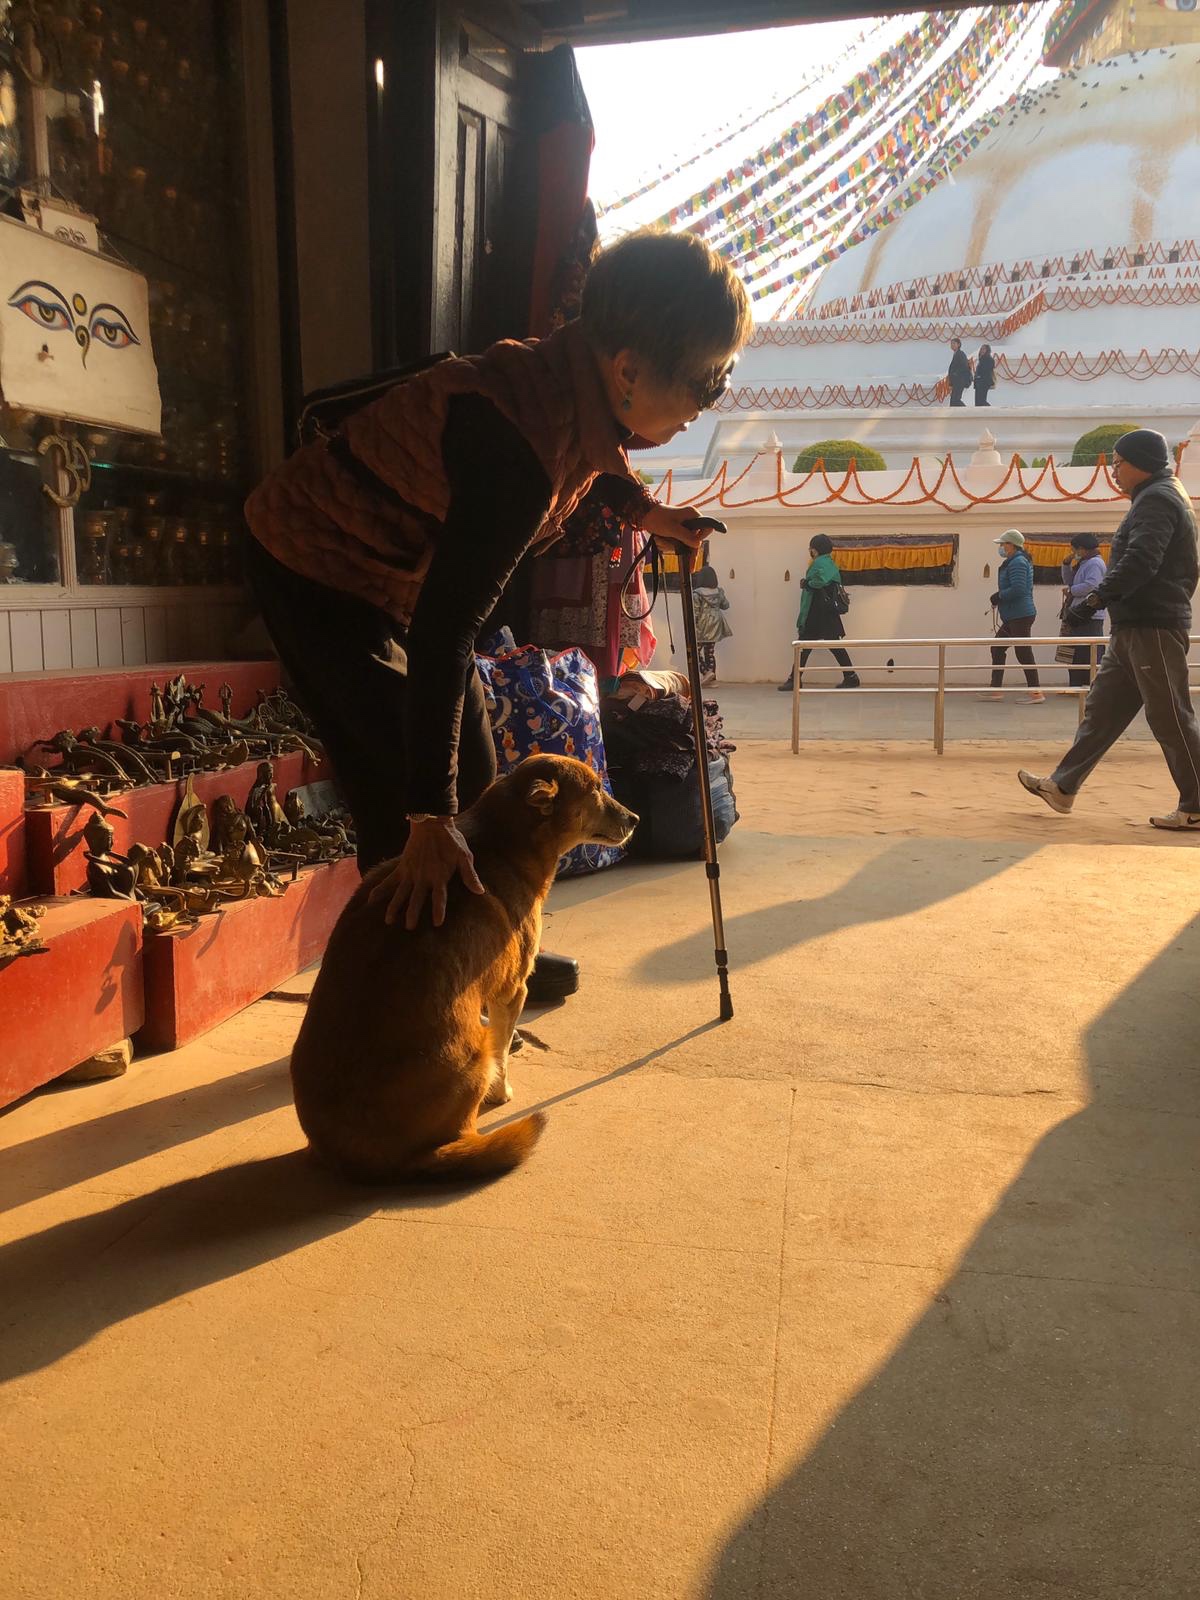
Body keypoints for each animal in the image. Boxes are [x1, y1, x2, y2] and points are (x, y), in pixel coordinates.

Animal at [290, 755, 638, 1183]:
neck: (505, 840)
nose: (636, 818)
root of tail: (366, 1159)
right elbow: (503, 1052)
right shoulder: (512, 991)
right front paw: (502, 1092)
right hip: (475, 1054)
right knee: (464, 1125)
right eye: (594, 790)